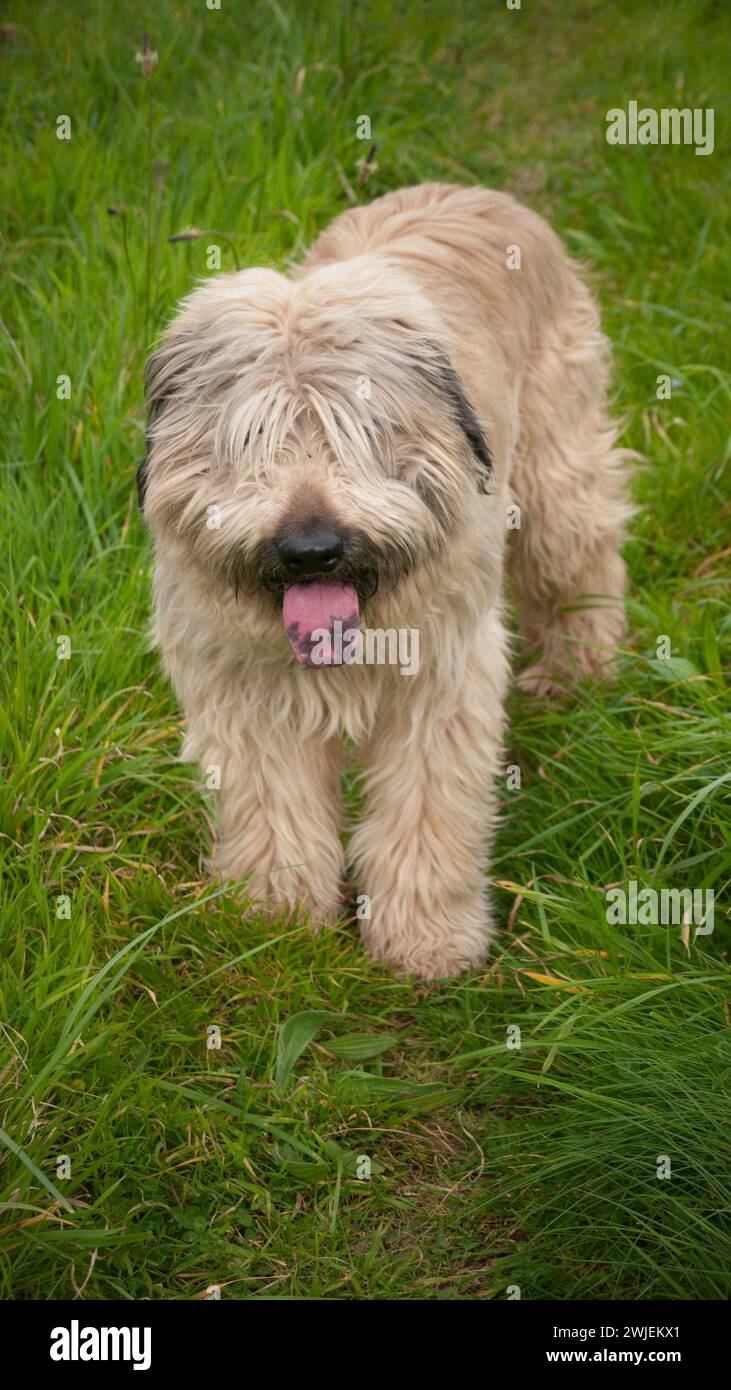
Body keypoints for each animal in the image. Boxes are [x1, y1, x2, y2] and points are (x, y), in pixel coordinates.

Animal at [140, 184, 633, 984]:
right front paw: (274, 923)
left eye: (361, 429)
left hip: (553, 478)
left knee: (585, 560)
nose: (311, 551)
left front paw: (426, 937)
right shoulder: (246, 691)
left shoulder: (440, 684)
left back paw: (578, 669)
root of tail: (480, 192)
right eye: (252, 438)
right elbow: (273, 810)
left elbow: (425, 814)